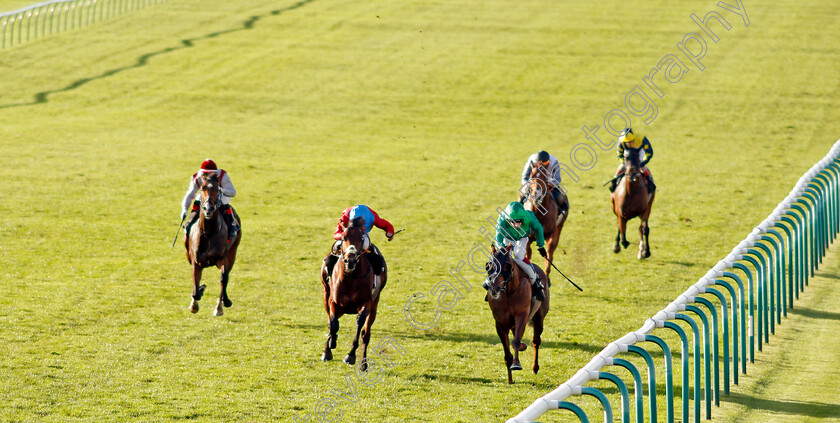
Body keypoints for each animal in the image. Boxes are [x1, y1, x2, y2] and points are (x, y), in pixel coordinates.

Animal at [182, 171, 238, 314]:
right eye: (202, 188)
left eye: (217, 189)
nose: (209, 209)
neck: (209, 233)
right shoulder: (195, 261)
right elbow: (196, 290)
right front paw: (195, 302)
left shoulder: (222, 257)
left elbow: (224, 277)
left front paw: (221, 305)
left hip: (233, 252)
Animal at [320, 219, 388, 372]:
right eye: (343, 238)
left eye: (361, 239)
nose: (350, 260)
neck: (351, 276)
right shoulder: (333, 302)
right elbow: (333, 324)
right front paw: (331, 345)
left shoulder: (367, 303)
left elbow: (359, 323)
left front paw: (350, 356)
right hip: (326, 294)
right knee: (330, 322)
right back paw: (327, 349)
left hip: (375, 305)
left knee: (366, 334)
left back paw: (363, 364)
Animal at [486, 243, 552, 386]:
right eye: (489, 265)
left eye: (507, 265)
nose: (494, 288)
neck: (508, 292)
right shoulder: (500, 322)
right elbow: (507, 349)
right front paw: (510, 377)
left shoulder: (521, 315)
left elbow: (516, 341)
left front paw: (516, 364)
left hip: (539, 318)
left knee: (536, 341)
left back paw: (535, 368)